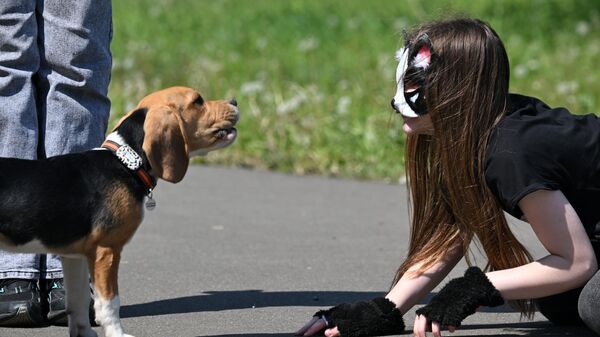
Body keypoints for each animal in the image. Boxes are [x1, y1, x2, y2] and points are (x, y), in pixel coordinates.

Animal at [0, 86, 239, 336]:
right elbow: (110, 302)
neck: (126, 162)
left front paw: (84, 332)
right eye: (198, 101)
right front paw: (117, 332)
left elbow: (78, 300)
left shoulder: (75, 257)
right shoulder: (107, 250)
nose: (234, 101)